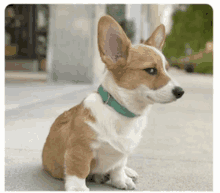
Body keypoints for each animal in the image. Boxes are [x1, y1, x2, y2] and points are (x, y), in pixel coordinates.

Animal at [42, 15, 185, 191]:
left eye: (167, 69)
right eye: (151, 70)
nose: (180, 92)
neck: (122, 113)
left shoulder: (122, 153)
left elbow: (119, 166)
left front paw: (120, 179)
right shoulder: (80, 149)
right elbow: (79, 170)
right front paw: (78, 188)